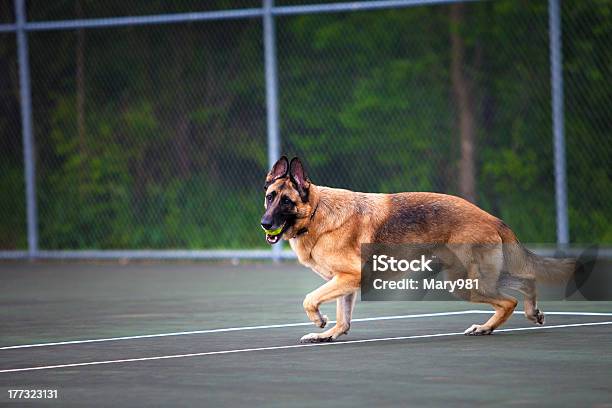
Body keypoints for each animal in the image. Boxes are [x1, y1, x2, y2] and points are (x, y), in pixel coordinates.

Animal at [260, 155, 576, 342]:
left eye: (286, 201)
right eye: (270, 197)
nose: (264, 223)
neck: (316, 212)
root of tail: (491, 218)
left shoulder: (347, 278)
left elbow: (309, 299)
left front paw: (318, 320)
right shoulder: (345, 283)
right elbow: (343, 318)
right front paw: (330, 333)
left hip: (464, 284)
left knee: (508, 301)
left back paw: (485, 328)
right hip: (479, 278)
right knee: (527, 281)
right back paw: (531, 313)